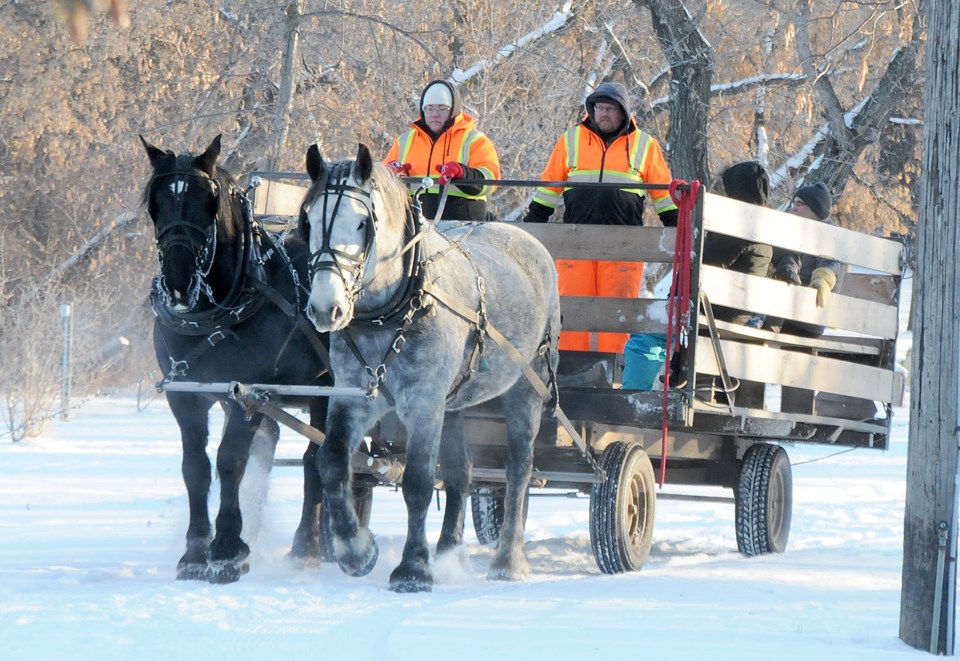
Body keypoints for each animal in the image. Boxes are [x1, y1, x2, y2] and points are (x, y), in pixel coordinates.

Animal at [141, 135, 336, 584]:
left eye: (207, 201)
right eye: (155, 202)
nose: (178, 281)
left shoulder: (247, 393)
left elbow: (230, 462)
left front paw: (228, 551)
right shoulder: (185, 394)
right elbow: (195, 467)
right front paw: (195, 553)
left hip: (327, 390)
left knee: (317, 460)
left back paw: (311, 545)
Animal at [296, 144, 560, 592]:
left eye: (362, 223)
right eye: (310, 220)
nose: (324, 309)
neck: (393, 310)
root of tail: (531, 242)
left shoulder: (423, 403)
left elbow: (417, 482)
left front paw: (413, 569)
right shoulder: (354, 396)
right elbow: (331, 460)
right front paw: (356, 551)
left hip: (526, 390)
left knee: (517, 472)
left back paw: (508, 560)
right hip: (451, 405)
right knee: (460, 473)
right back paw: (449, 552)